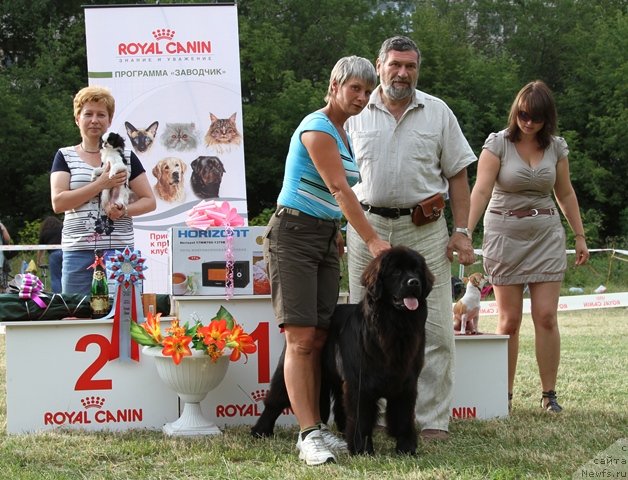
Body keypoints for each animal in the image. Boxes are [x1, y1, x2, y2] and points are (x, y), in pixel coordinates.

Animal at [250, 246, 432, 456]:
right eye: (395, 272)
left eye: (416, 271)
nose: (414, 282)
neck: (394, 325)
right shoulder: (361, 383)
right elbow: (362, 418)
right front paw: (362, 449)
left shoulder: (405, 383)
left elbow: (403, 417)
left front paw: (406, 448)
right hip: (290, 366)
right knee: (275, 400)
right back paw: (260, 430)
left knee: (339, 407)